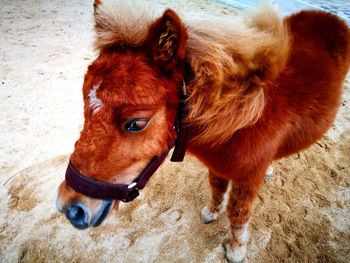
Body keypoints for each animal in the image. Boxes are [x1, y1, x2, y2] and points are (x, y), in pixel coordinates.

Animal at [56, 1, 348, 262]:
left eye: (136, 123)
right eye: (85, 107)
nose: (69, 208)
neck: (241, 117)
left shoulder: (247, 179)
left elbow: (238, 213)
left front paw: (235, 250)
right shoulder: (218, 167)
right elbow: (217, 189)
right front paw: (211, 212)